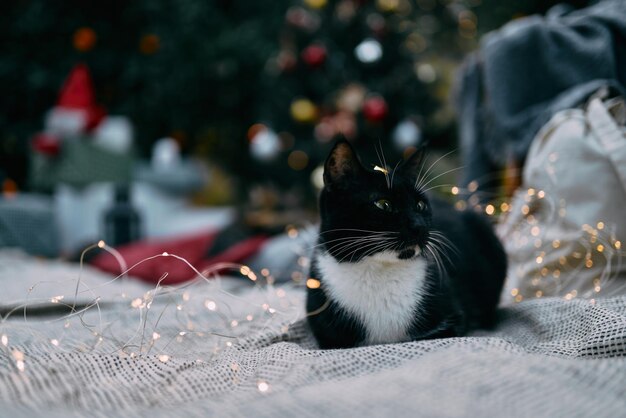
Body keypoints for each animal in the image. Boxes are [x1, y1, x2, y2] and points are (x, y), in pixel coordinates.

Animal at [308, 140, 508, 350]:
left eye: (420, 205)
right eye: (383, 204)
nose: (419, 226)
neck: (377, 271)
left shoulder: (452, 320)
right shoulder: (329, 337)